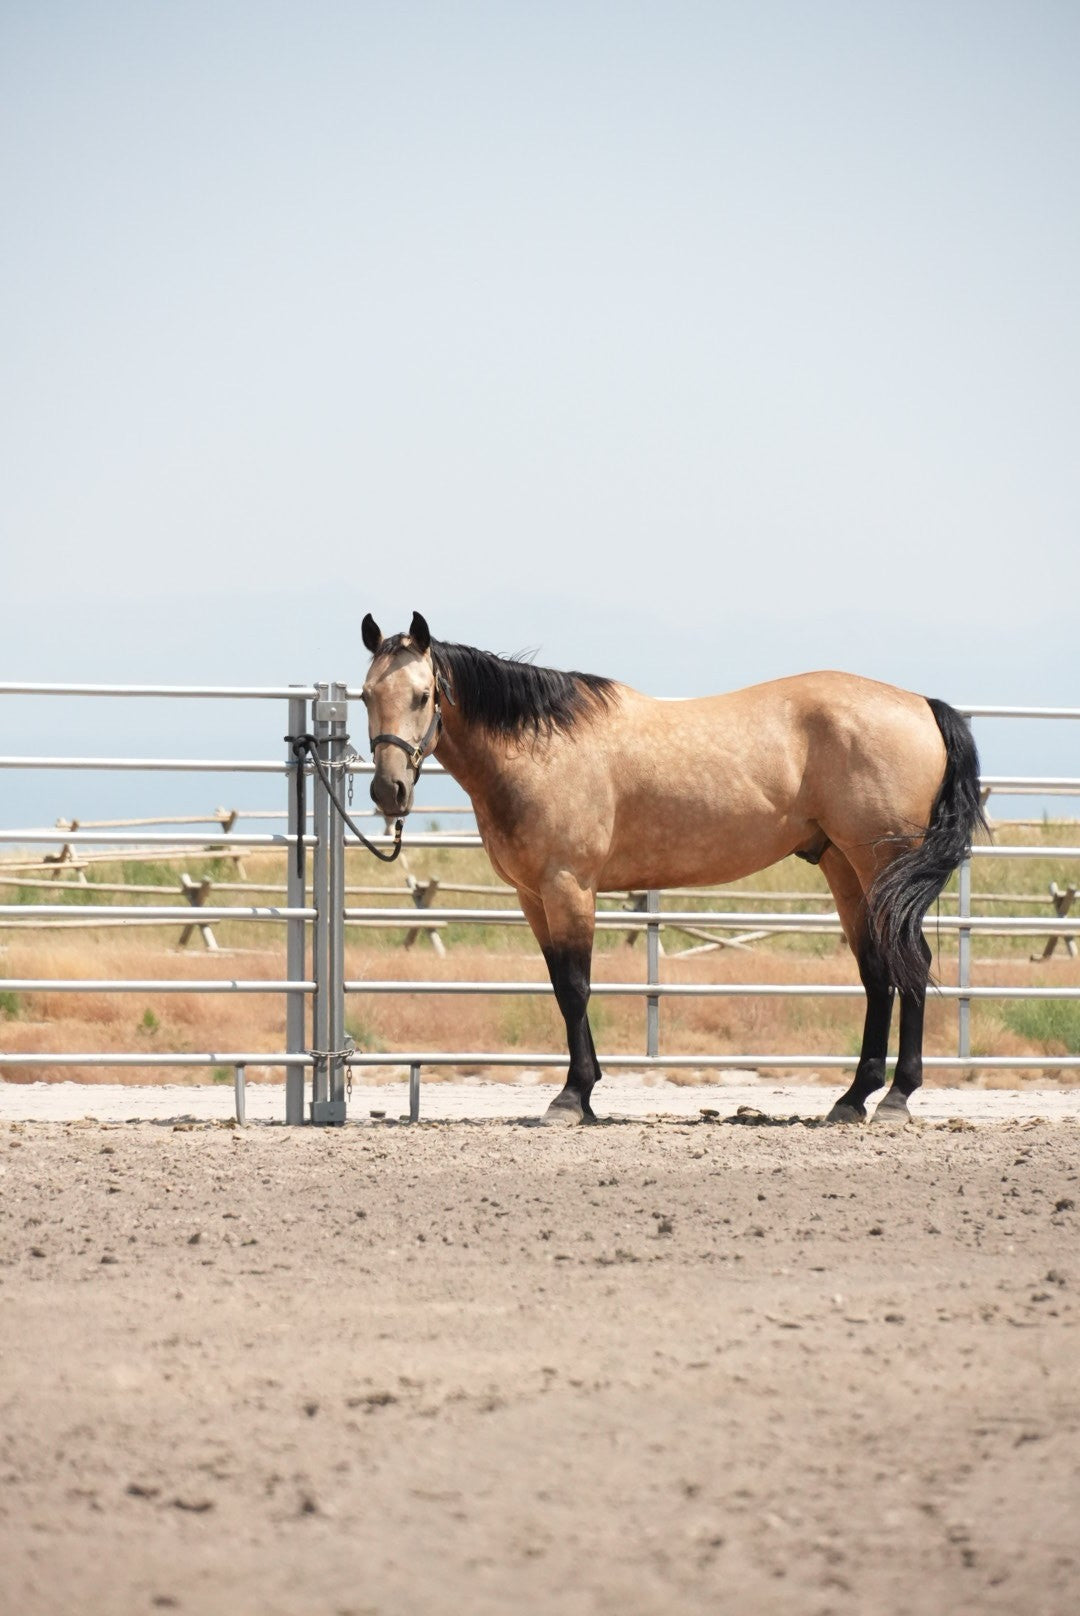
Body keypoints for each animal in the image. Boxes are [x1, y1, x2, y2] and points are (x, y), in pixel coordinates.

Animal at [359, 611, 985, 1126]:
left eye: (422, 695)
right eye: (365, 695)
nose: (388, 792)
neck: (542, 750)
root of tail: (922, 705)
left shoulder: (569, 887)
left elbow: (576, 987)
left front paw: (572, 1097)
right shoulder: (533, 898)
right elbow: (562, 986)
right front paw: (585, 1095)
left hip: (882, 864)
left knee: (912, 963)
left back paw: (897, 1098)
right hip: (845, 870)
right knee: (878, 971)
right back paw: (853, 1099)